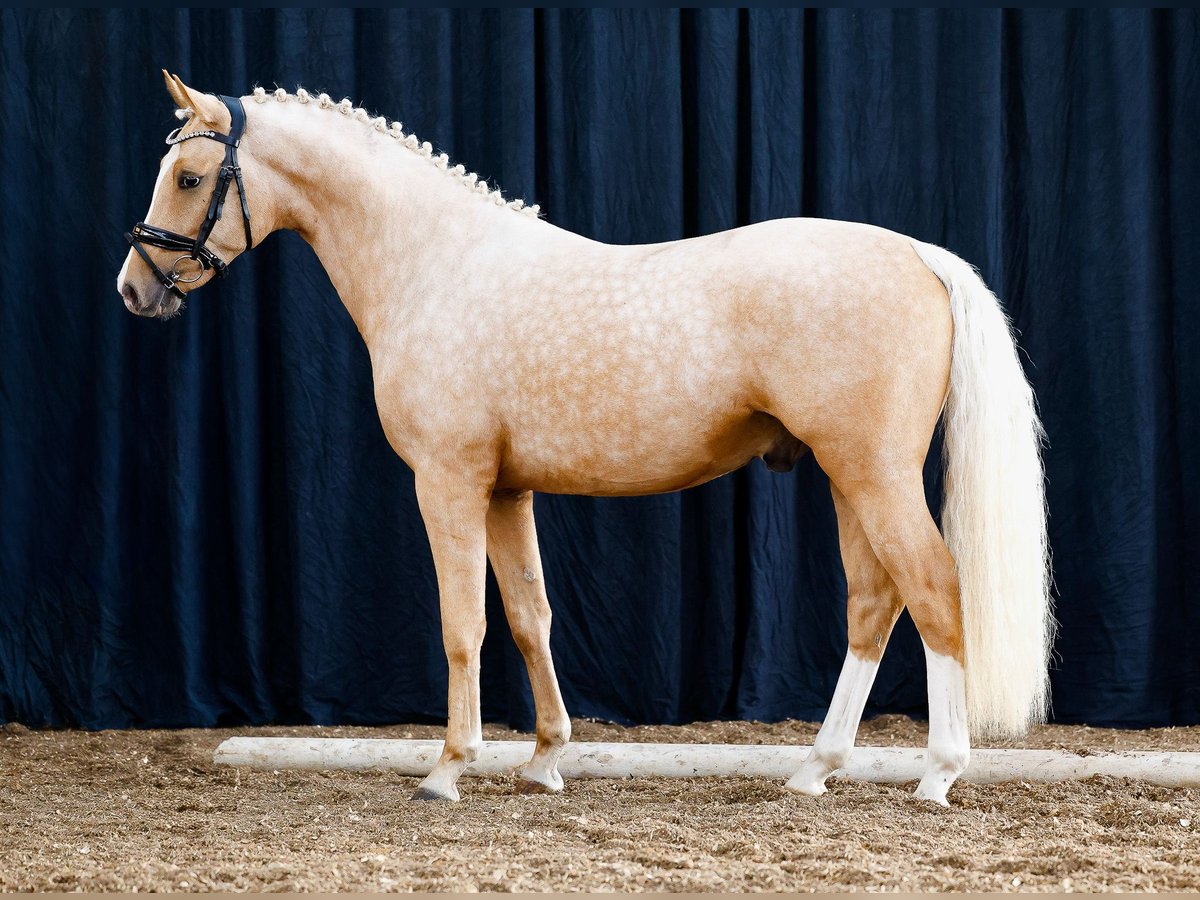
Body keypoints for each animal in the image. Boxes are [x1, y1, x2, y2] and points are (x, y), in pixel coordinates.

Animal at [114, 74, 1051, 811]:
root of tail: (921, 256)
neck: (439, 265)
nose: (134, 289)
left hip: (873, 473)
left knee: (933, 591)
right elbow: (532, 618)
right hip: (846, 475)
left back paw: (937, 774)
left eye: (190, 176)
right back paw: (814, 769)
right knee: (872, 604)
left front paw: (447, 770)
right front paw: (545, 760)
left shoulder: (448, 482)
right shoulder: (506, 489)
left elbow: (464, 624)